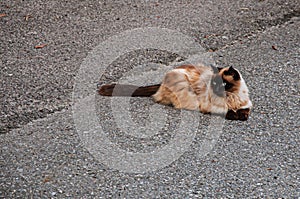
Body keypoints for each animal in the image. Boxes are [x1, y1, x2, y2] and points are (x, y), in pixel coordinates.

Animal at [99, 64, 252, 120]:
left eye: (224, 84)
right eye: (214, 83)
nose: (216, 89)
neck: (231, 97)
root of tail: (161, 83)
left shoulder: (246, 105)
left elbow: (245, 111)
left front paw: (241, 115)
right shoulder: (210, 106)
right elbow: (227, 111)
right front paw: (234, 115)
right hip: (183, 84)